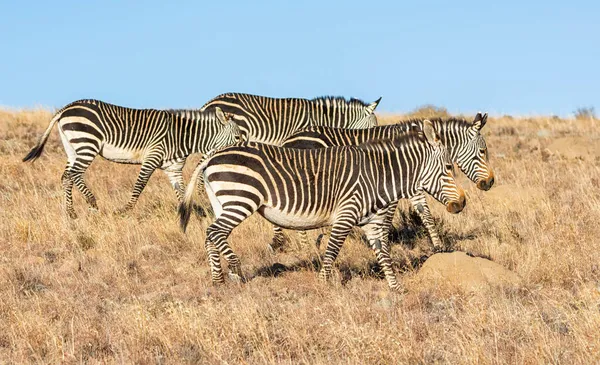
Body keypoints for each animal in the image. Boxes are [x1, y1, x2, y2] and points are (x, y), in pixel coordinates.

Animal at [22, 98, 244, 218]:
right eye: (237, 137)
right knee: (73, 174)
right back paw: (91, 203)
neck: (182, 137)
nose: (243, 154)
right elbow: (139, 186)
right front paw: (124, 211)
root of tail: (66, 108)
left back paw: (71, 213)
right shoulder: (152, 157)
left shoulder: (173, 169)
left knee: (66, 176)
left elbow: (182, 193)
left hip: (73, 148)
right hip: (87, 143)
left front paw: (195, 213)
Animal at [178, 121, 464, 290]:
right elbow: (332, 251)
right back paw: (235, 268)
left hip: (221, 202)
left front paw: (396, 288)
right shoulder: (345, 214)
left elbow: (384, 254)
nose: (461, 203)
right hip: (240, 199)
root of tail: (212, 156)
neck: (377, 175)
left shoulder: (371, 222)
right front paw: (324, 285)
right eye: (449, 168)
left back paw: (218, 279)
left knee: (211, 236)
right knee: (214, 232)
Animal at [284, 112, 494, 252]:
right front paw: (384, 245)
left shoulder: (414, 186)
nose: (490, 182)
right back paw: (306, 248)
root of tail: (289, 140)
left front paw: (439, 247)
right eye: (482, 152)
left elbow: (425, 214)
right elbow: (387, 219)